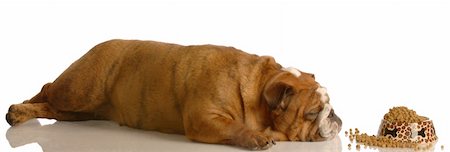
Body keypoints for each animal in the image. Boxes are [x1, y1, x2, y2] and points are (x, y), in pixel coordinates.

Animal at [5, 39, 342, 150]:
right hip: (81, 90)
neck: (261, 85)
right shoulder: (204, 118)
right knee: (47, 89)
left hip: (79, 110)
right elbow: (235, 126)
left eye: (330, 106)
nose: (335, 117)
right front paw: (255, 138)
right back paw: (18, 110)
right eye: (313, 112)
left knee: (51, 107)